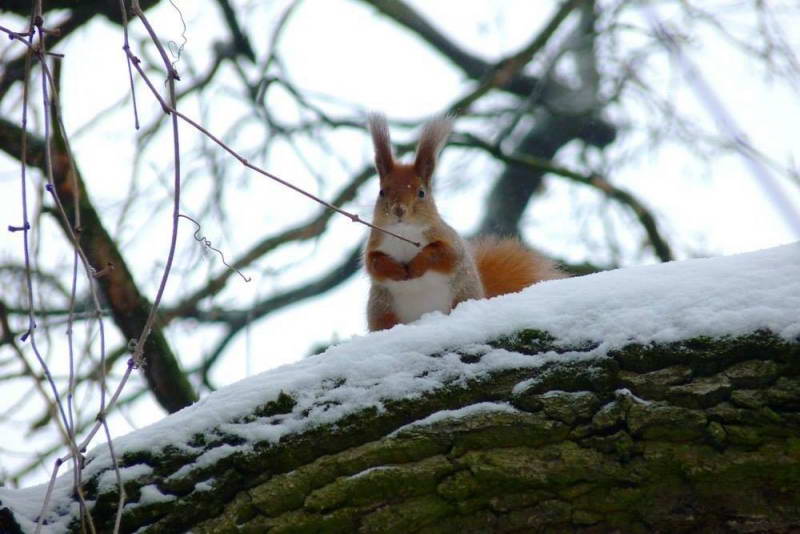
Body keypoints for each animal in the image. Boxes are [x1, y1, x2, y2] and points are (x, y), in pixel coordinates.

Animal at [362, 112, 564, 330]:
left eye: (421, 193)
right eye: (382, 192)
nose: (399, 210)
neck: (404, 232)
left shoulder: (448, 240)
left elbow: (444, 254)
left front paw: (416, 265)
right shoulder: (376, 242)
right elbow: (373, 263)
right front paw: (397, 270)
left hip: (461, 296)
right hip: (383, 311)